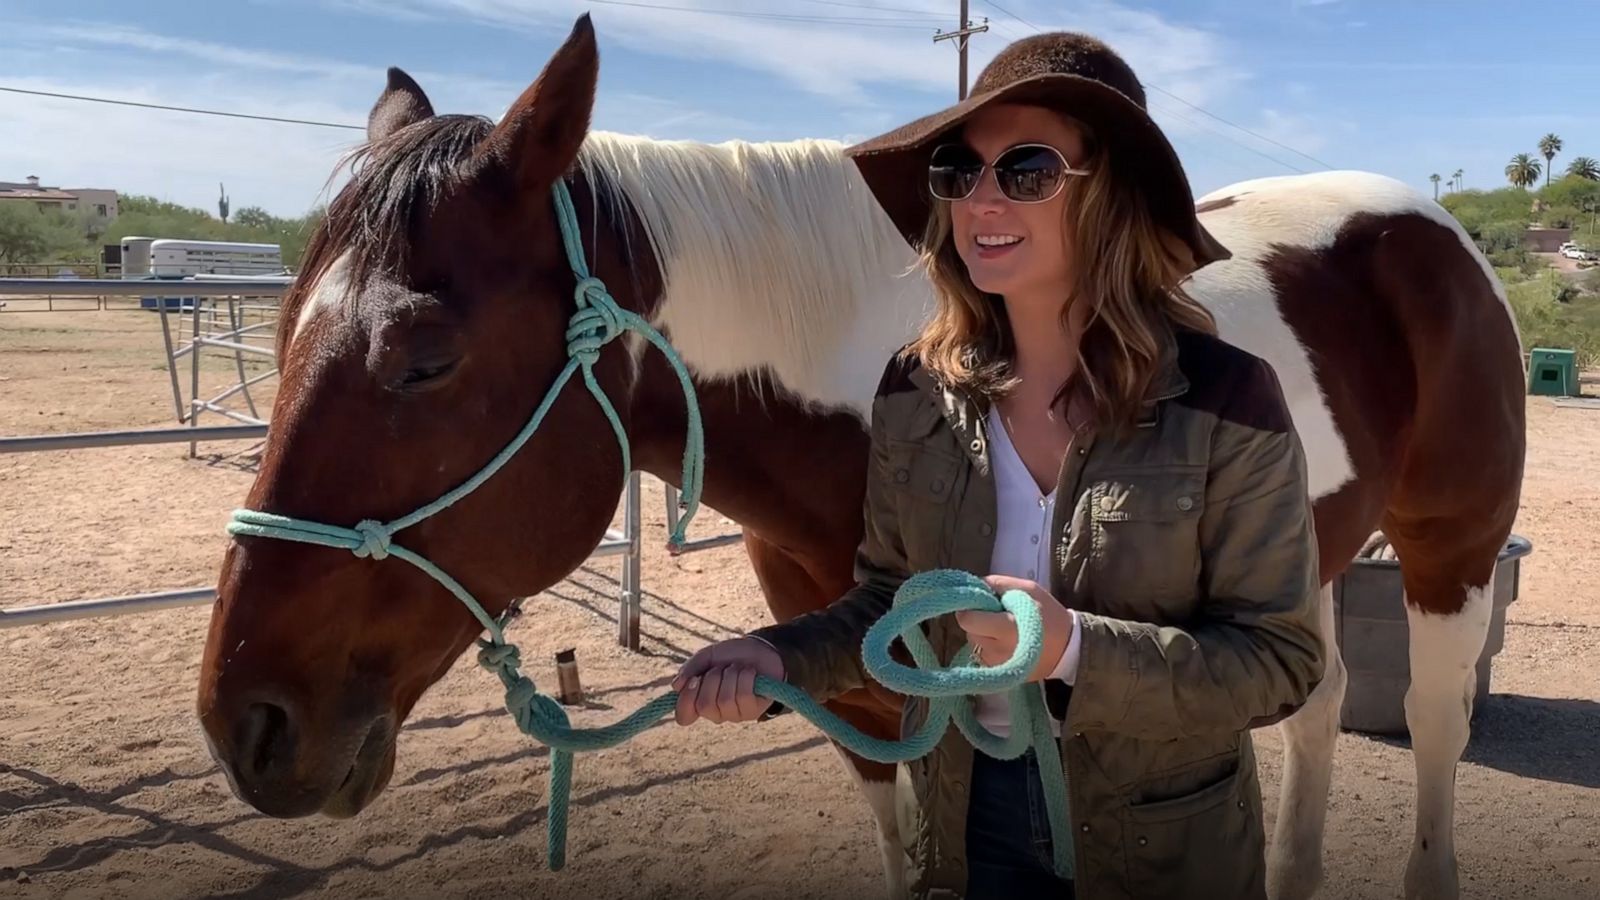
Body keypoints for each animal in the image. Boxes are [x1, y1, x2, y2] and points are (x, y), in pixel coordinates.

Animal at [196, 14, 1523, 896]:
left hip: (1448, 549)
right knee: (1319, 701)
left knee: (1434, 722)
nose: (247, 725)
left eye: (424, 357)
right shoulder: (853, 689)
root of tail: (1429, 226)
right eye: (281, 329)